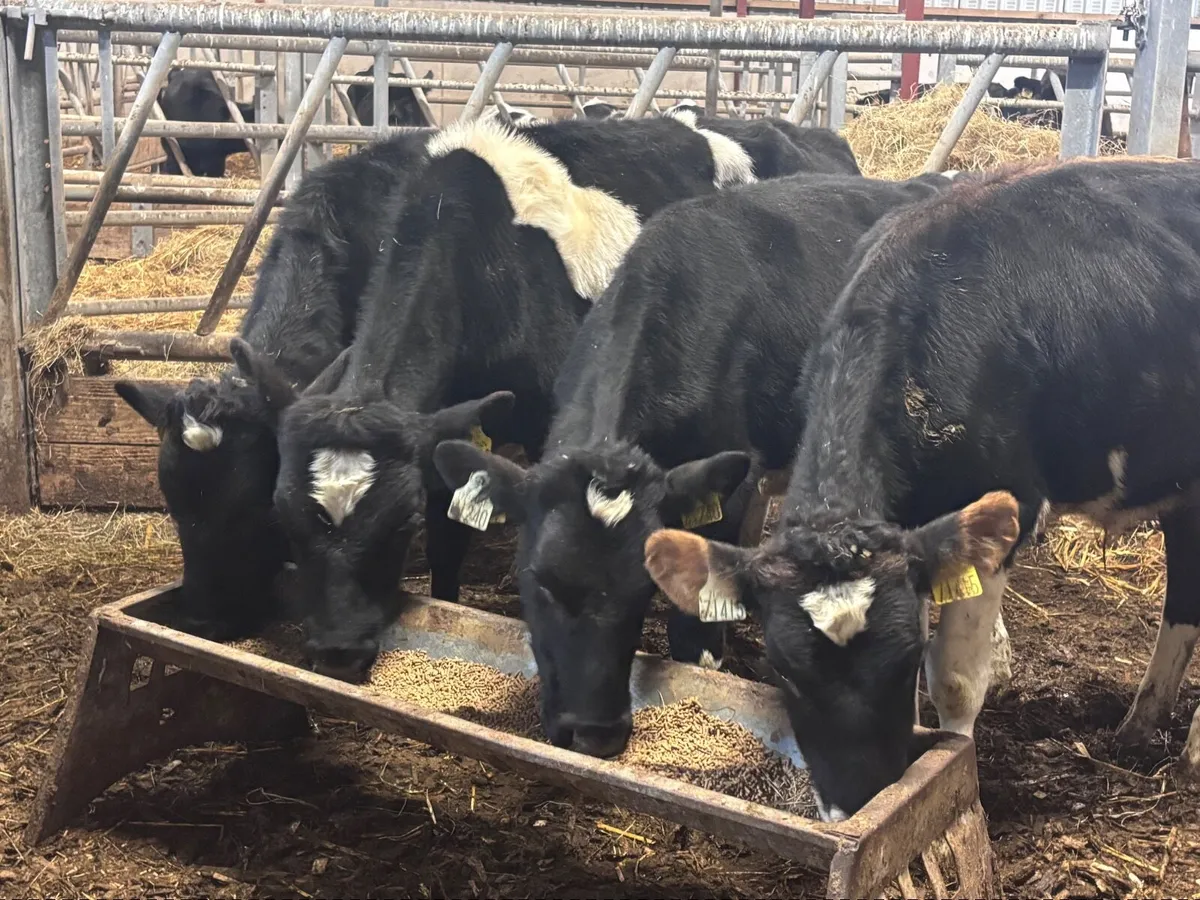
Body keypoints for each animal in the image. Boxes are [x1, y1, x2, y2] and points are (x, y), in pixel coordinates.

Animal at [642, 159, 1200, 822]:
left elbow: (955, 677)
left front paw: (954, 771)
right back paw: (1140, 724)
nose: (853, 803)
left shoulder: (1003, 511)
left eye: (904, 657)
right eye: (783, 670)